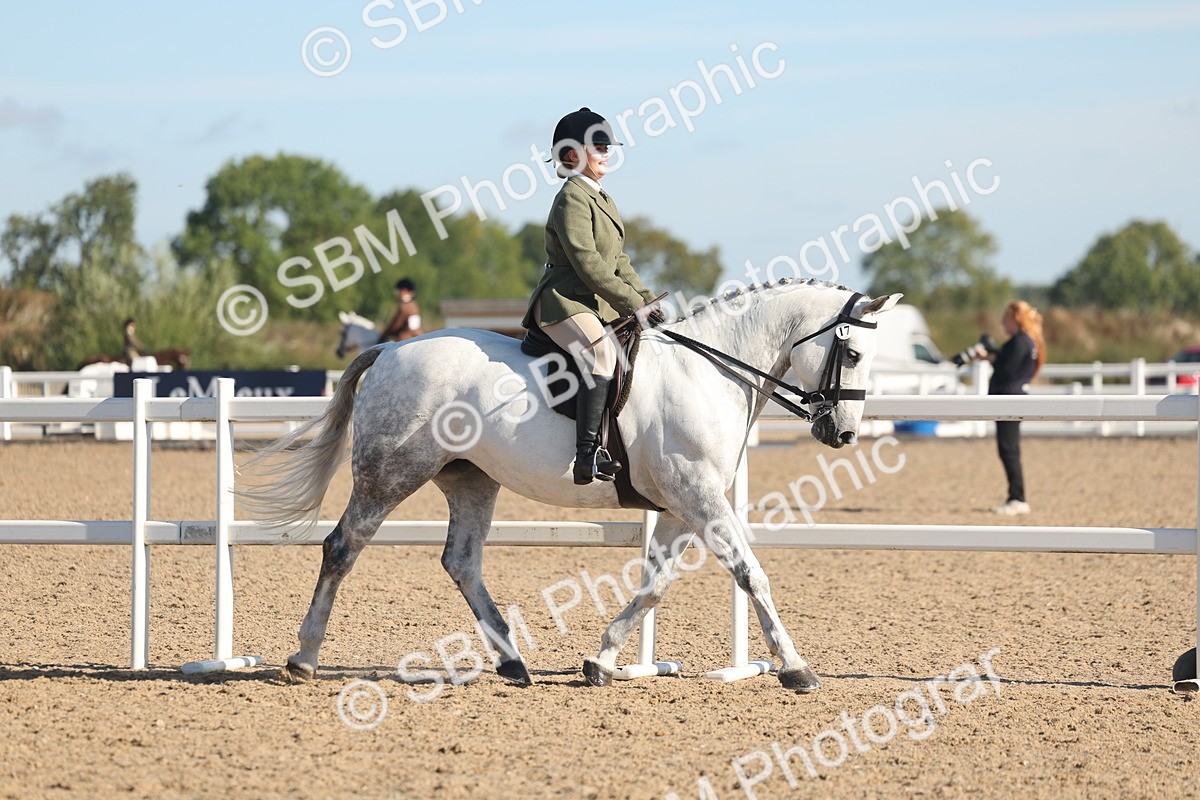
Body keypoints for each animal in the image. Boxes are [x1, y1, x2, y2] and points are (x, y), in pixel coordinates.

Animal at [240, 280, 902, 693]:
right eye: (854, 353)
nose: (843, 433)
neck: (712, 370)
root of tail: (390, 351)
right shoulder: (700, 499)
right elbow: (750, 573)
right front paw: (795, 668)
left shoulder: (683, 507)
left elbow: (655, 585)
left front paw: (600, 660)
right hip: (391, 474)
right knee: (343, 547)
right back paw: (303, 657)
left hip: (471, 481)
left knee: (461, 561)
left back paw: (512, 662)